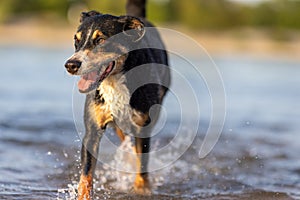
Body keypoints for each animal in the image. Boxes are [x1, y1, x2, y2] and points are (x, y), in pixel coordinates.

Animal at [64, 0, 170, 198]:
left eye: (101, 40)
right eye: (76, 40)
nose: (71, 65)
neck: (114, 82)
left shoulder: (143, 126)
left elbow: (142, 165)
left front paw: (141, 189)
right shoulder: (92, 129)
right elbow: (86, 175)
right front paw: (83, 195)